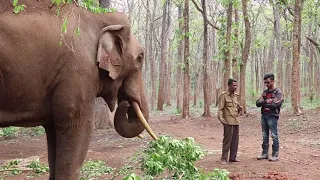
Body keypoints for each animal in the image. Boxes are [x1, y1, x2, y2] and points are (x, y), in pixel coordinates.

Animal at [0, 3, 156, 180]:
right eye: (140, 58)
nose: (125, 103)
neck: (99, 18)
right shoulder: (78, 70)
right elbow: (77, 124)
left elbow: (53, 129)